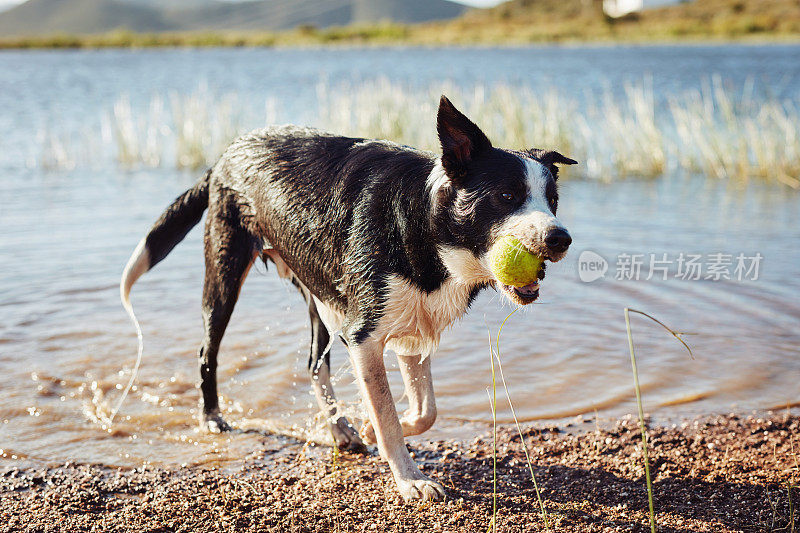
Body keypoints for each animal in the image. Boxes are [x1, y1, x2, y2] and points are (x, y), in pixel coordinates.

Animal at [120, 97, 576, 500]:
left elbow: (424, 410)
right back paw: (212, 417)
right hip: (225, 271)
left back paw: (341, 430)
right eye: (507, 196)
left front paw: (372, 429)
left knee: (313, 362)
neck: (426, 225)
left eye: (553, 201)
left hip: (318, 295)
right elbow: (389, 414)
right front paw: (410, 480)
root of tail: (227, 152)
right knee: (207, 350)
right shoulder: (364, 334)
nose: (561, 238)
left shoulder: (412, 326)